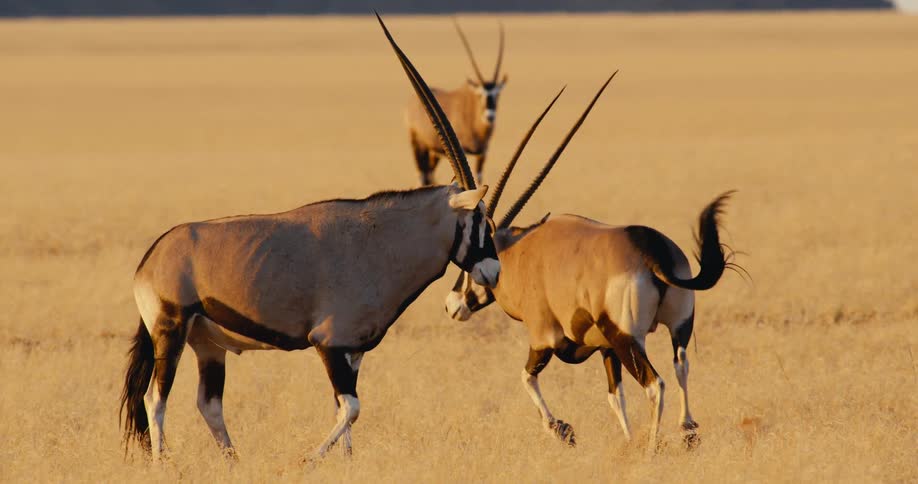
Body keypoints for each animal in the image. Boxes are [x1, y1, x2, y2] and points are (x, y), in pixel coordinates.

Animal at [405, 19, 507, 186]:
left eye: (498, 94)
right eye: (480, 94)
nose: (490, 116)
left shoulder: (482, 154)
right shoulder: (462, 151)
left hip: (434, 152)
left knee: (429, 174)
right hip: (417, 144)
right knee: (422, 174)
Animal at [444, 95, 737, 450]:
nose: (452, 305)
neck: (519, 253)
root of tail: (651, 251)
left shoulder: (544, 338)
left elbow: (526, 377)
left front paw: (561, 429)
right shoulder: (606, 349)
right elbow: (615, 397)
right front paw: (625, 438)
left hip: (628, 338)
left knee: (656, 384)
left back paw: (651, 448)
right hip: (678, 326)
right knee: (681, 366)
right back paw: (687, 432)